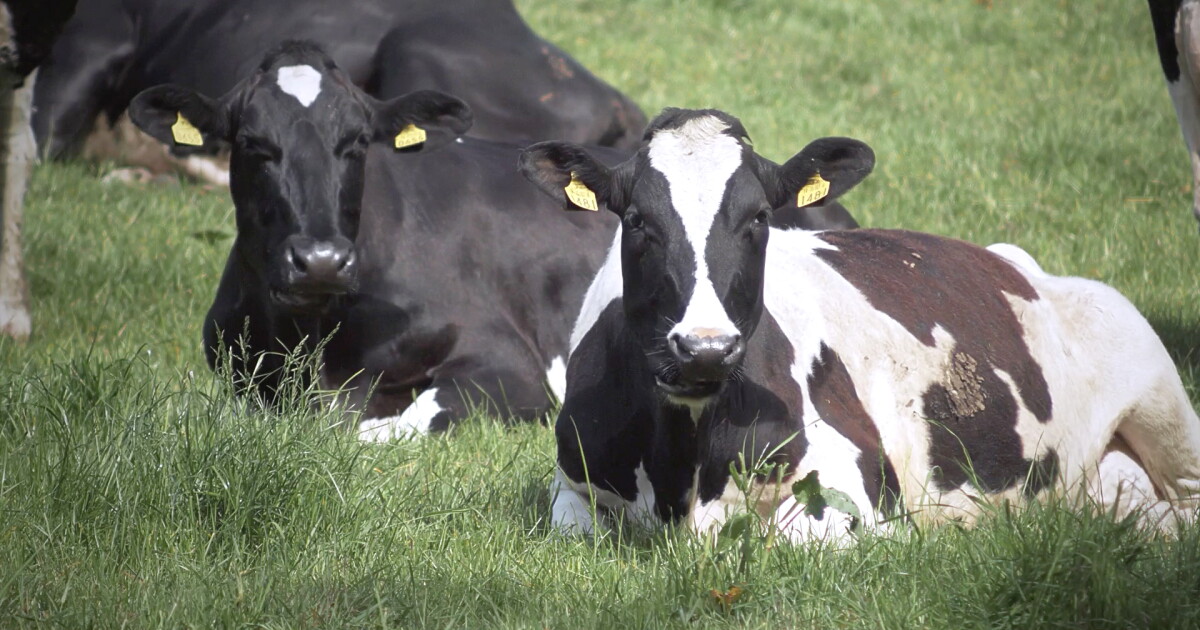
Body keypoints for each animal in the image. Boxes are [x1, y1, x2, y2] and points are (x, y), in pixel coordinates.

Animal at [519, 108, 1200, 540]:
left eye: (760, 218)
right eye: (637, 220)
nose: (705, 348)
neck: (683, 471)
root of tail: (1018, 261)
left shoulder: (856, 481)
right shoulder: (571, 489)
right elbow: (577, 532)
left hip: (1164, 402)